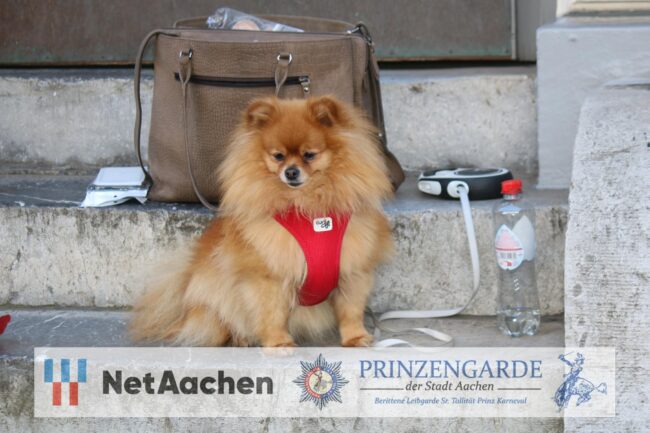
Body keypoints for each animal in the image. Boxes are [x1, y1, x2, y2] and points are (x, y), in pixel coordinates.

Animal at [130, 95, 394, 347]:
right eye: (278, 156)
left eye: (309, 155)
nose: (291, 171)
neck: (308, 209)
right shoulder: (268, 273)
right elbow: (271, 313)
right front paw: (278, 342)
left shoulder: (353, 270)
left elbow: (351, 311)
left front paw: (355, 338)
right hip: (214, 295)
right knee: (223, 321)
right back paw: (240, 338)